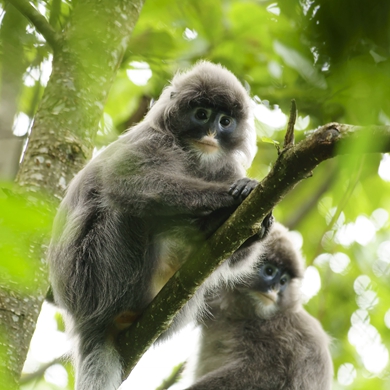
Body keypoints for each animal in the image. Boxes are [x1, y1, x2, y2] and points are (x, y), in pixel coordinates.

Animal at [187, 222, 334, 390]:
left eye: (283, 281)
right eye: (269, 271)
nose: (275, 289)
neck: (241, 316)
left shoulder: (291, 332)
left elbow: (272, 372)